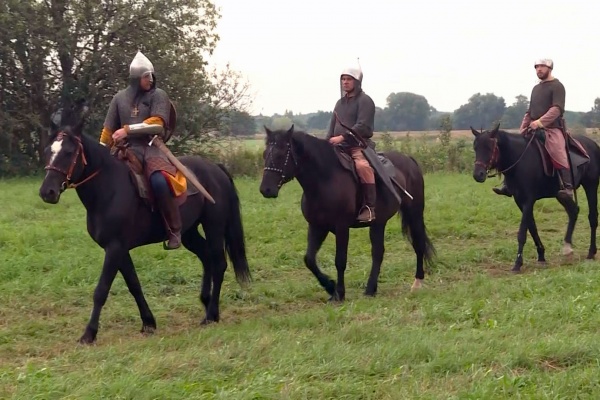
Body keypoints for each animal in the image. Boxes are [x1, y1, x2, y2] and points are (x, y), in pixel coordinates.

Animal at [38, 101, 251, 342]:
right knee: (206, 257)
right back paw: (205, 304)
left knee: (219, 263)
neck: (108, 188)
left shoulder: (115, 248)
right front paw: (148, 322)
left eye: (68, 152)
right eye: (48, 151)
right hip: (188, 232)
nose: (47, 192)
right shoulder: (118, 250)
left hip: (214, 226)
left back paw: (212, 314)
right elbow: (134, 285)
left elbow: (101, 290)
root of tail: (216, 168)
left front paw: (89, 333)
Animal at [258, 126, 432, 300]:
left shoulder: (341, 227)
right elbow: (309, 259)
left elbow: (340, 260)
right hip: (378, 223)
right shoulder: (317, 226)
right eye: (265, 154)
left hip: (414, 213)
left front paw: (339, 293)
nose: (266, 190)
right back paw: (371, 289)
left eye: (280, 155)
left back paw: (416, 283)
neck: (325, 179)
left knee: (418, 244)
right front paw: (330, 286)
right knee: (378, 252)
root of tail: (409, 160)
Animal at [474, 125, 600, 272]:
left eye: (489, 147)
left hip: (591, 185)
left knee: (592, 217)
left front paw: (517, 263)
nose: (478, 174)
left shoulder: (528, 200)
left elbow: (522, 232)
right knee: (573, 211)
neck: (519, 159)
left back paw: (591, 252)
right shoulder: (519, 201)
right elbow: (532, 228)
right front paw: (541, 256)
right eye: (475, 147)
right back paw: (567, 247)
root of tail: (593, 144)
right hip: (561, 195)